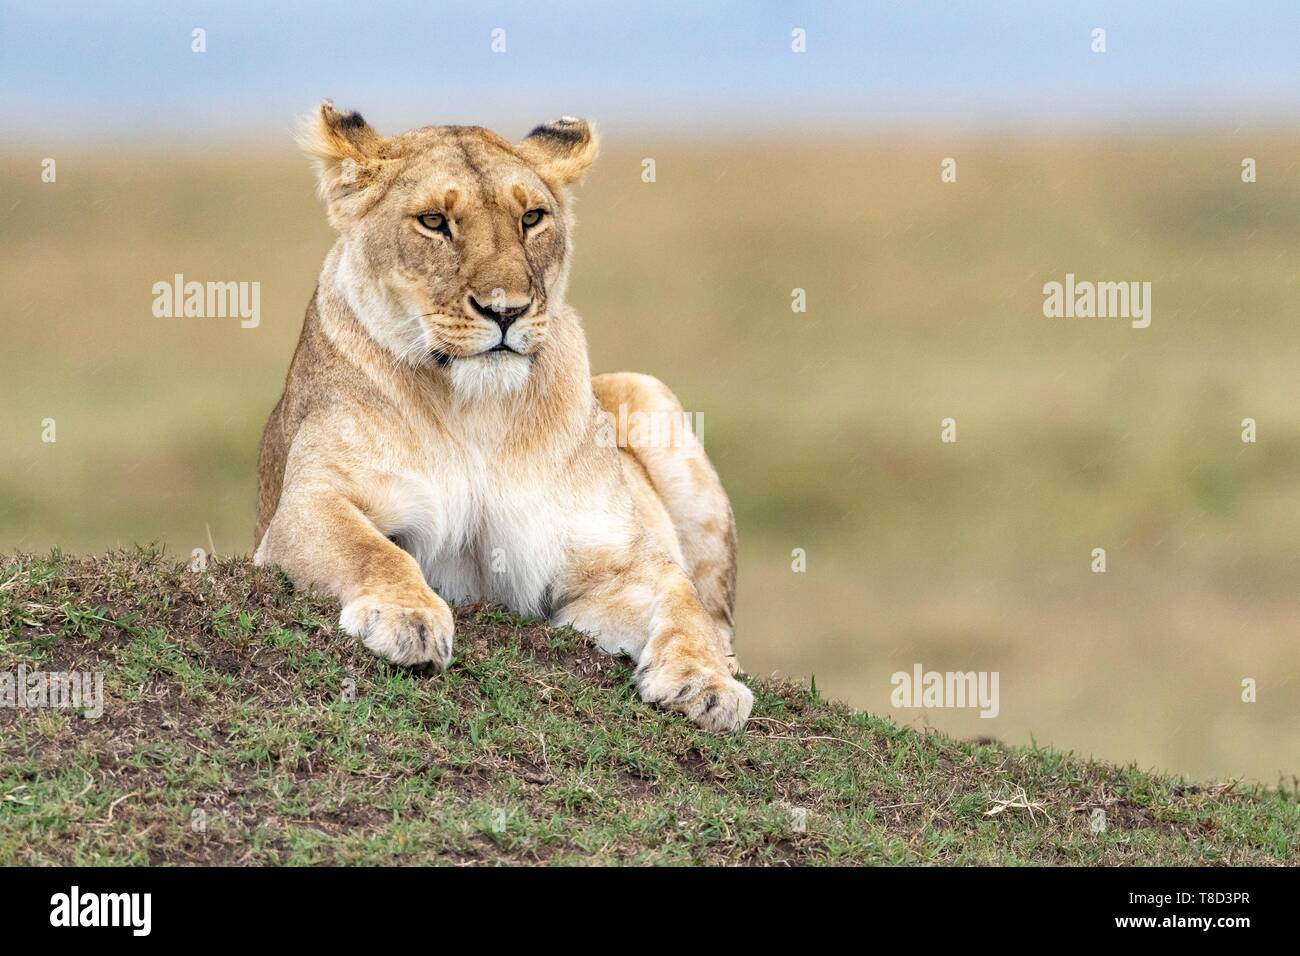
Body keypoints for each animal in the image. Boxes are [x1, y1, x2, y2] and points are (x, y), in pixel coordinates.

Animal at [253, 102, 752, 731]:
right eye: (434, 222)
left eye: (532, 218)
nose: (505, 311)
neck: (478, 414)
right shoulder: (305, 507)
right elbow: (373, 550)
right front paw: (408, 618)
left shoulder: (614, 562)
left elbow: (683, 602)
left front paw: (706, 684)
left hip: (648, 391)